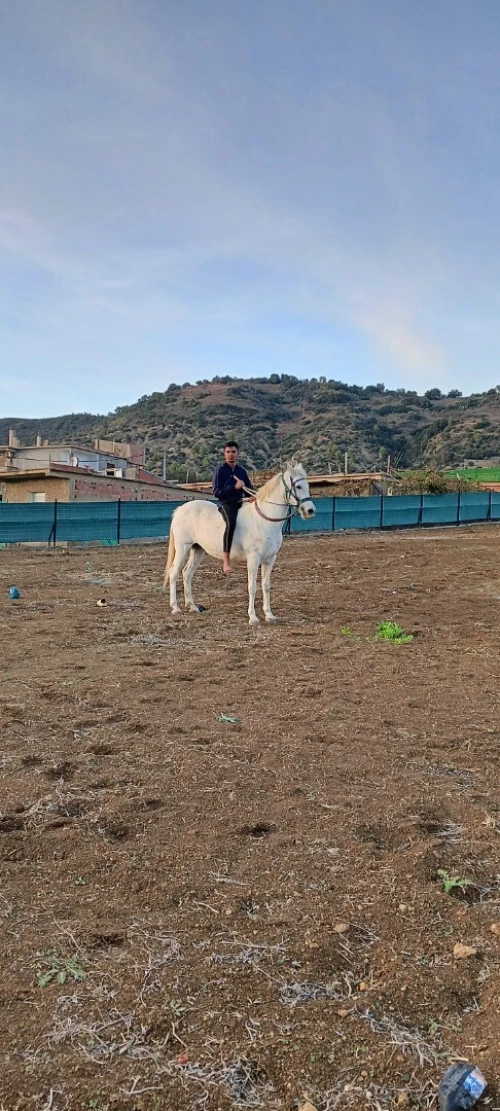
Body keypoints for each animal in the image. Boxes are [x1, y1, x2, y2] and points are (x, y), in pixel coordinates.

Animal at [163, 463, 316, 625]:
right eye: (298, 486)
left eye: (307, 485)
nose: (310, 510)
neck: (264, 520)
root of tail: (180, 509)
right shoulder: (253, 558)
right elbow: (252, 587)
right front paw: (253, 617)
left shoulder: (269, 559)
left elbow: (266, 586)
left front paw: (269, 615)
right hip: (183, 548)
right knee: (174, 573)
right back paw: (176, 608)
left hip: (198, 550)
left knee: (187, 574)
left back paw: (192, 607)